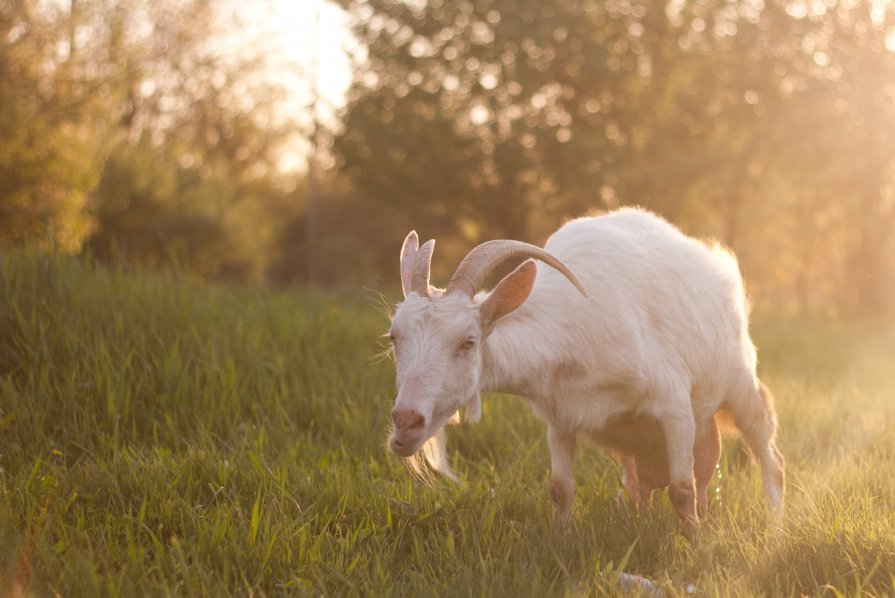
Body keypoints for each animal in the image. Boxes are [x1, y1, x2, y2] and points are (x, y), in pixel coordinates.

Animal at [384, 206, 784, 536]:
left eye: (468, 342)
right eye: (393, 336)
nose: (406, 422)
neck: (574, 325)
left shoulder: (674, 405)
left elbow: (681, 490)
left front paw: (695, 548)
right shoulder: (560, 417)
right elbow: (560, 490)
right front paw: (561, 542)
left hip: (739, 384)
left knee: (765, 456)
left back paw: (773, 523)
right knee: (664, 477)